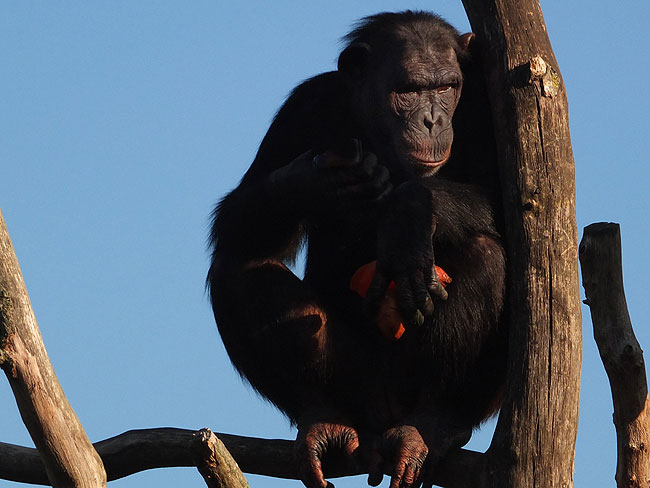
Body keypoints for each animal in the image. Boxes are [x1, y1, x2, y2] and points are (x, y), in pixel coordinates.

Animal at [208, 10, 506, 488]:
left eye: (446, 87)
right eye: (408, 91)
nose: (432, 120)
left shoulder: (488, 108)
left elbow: (521, 207)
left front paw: (409, 211)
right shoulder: (303, 107)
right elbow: (237, 222)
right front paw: (310, 182)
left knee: (488, 255)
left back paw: (432, 423)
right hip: (357, 389)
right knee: (239, 266)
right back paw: (321, 417)